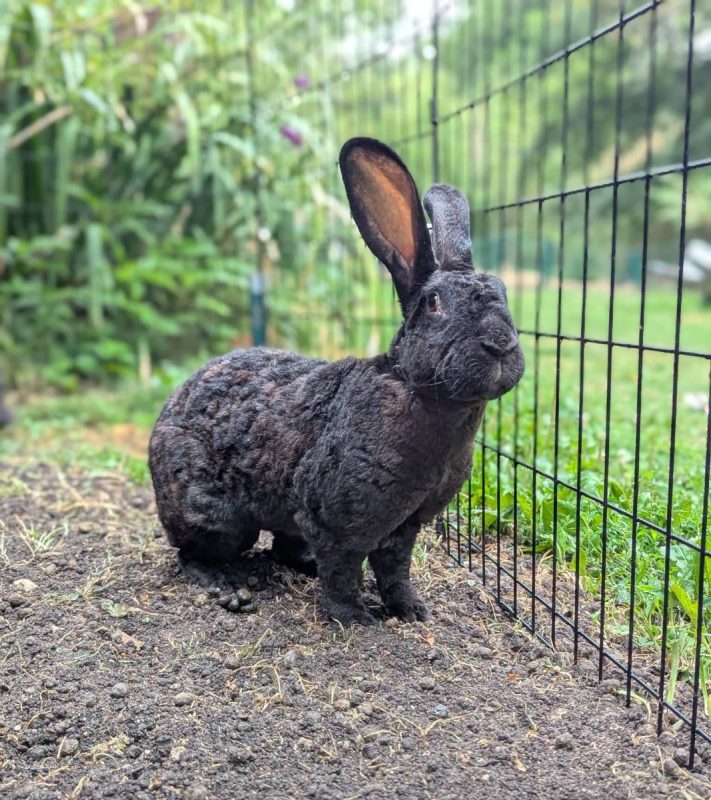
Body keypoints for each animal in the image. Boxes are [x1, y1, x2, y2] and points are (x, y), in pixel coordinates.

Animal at [148, 137, 525, 626]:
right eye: (434, 304)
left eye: (503, 293)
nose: (500, 344)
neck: (418, 390)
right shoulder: (335, 520)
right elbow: (344, 568)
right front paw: (353, 616)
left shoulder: (404, 525)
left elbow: (395, 568)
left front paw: (411, 610)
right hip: (213, 517)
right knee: (193, 554)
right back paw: (228, 589)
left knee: (283, 549)